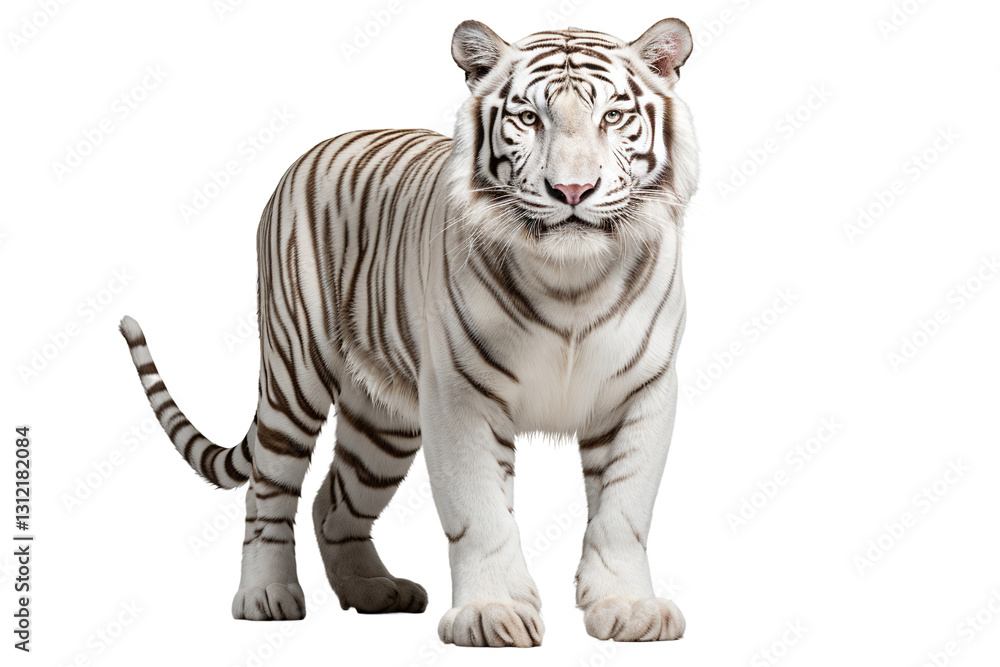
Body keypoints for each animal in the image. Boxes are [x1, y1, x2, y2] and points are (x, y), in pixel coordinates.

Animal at [119, 18, 698, 646]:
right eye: (528, 118)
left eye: (613, 116)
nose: (572, 191)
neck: (572, 278)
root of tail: (320, 147)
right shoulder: (461, 396)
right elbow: (481, 512)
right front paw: (490, 612)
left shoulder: (641, 391)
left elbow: (624, 511)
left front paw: (630, 608)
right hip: (294, 373)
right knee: (269, 487)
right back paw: (265, 596)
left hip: (384, 424)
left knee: (333, 502)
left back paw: (374, 591)